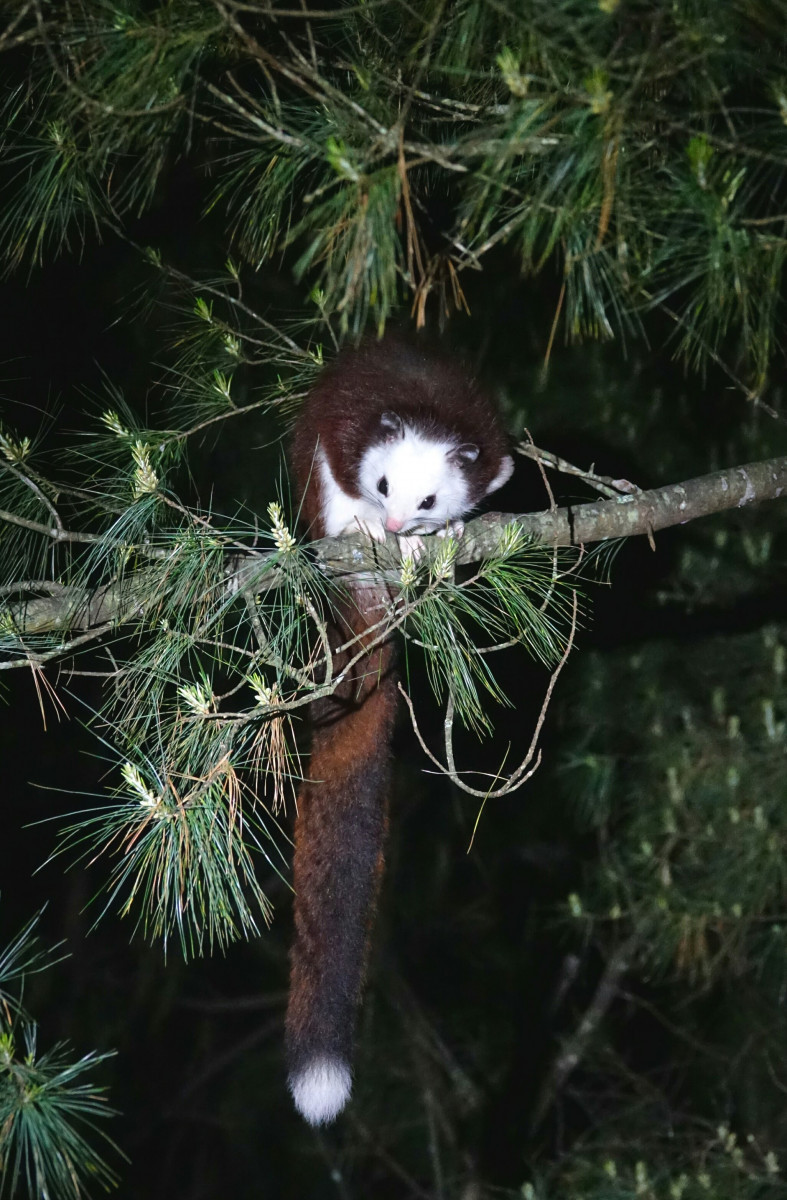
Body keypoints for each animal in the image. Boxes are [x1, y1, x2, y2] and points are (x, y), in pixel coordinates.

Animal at [285, 336, 513, 1123]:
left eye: (426, 499)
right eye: (384, 484)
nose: (391, 526)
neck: (429, 413)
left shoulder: (493, 448)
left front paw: (443, 532)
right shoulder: (342, 434)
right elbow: (336, 467)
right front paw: (366, 525)